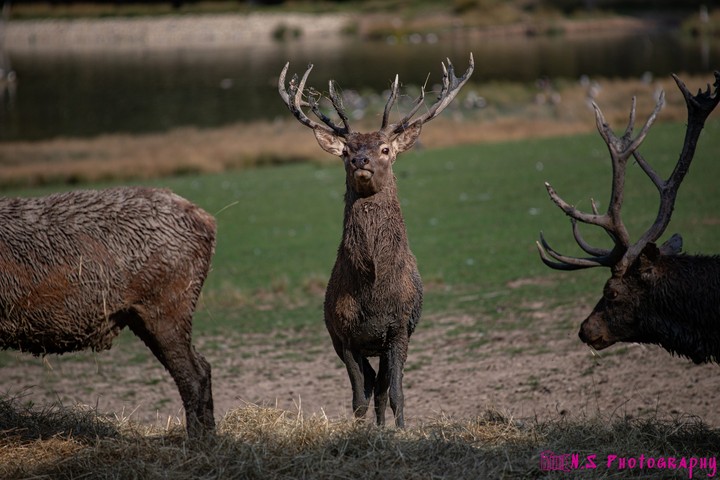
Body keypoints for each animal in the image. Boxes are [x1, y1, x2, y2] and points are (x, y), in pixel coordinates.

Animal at [0, 186, 216, 438]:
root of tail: (207, 219)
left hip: (168, 306)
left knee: (191, 375)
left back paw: (195, 441)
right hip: (141, 317)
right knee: (203, 365)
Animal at [278, 55, 474, 427]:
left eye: (384, 148)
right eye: (346, 151)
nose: (360, 160)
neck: (373, 290)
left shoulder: (399, 329)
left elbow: (397, 394)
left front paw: (400, 430)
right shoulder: (345, 337)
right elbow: (358, 399)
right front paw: (361, 432)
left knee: (382, 389)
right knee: (371, 387)